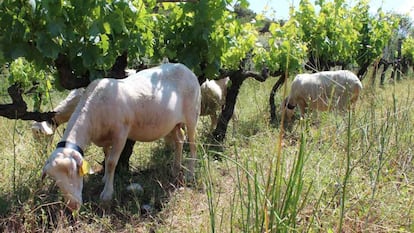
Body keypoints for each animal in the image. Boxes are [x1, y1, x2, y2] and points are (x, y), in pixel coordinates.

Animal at [42, 63, 201, 211]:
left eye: (73, 172)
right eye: (54, 179)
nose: (73, 206)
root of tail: (185, 68)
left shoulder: (121, 133)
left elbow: (112, 162)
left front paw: (107, 194)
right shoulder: (104, 137)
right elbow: (106, 157)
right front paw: (105, 179)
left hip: (192, 114)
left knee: (193, 144)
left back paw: (190, 174)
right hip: (173, 123)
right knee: (179, 140)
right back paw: (175, 169)